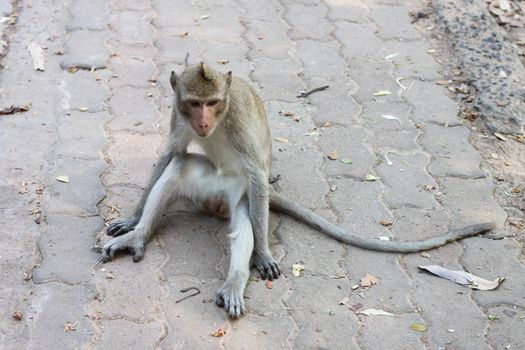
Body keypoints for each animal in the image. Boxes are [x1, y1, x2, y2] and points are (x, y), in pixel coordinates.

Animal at [103, 63, 496, 320]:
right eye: (194, 103)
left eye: (212, 103)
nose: (202, 122)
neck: (220, 117)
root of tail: (213, 204)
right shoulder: (177, 114)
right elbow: (171, 153)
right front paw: (133, 218)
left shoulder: (239, 123)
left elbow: (257, 174)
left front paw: (262, 254)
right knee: (180, 166)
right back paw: (138, 236)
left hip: (237, 194)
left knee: (247, 217)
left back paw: (235, 281)